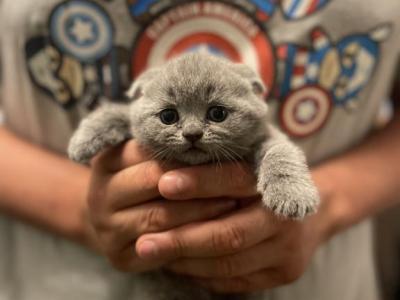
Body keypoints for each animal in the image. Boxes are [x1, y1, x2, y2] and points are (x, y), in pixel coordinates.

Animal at [68, 52, 318, 298]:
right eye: (168, 116)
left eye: (217, 113)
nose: (192, 134)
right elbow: (121, 112)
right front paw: (83, 140)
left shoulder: (267, 136)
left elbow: (281, 152)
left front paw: (291, 195)